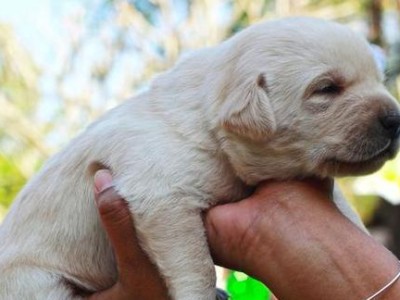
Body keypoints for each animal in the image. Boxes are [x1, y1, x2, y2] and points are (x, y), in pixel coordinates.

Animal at [0, 17, 400, 298]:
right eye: (327, 88)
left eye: (379, 80)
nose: (396, 119)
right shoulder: (160, 198)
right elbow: (197, 265)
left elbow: (346, 213)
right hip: (35, 284)